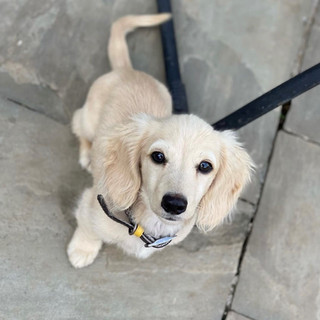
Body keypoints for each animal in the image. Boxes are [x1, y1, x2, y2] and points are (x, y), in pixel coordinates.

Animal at [67, 13, 252, 268]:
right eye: (158, 156)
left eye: (205, 166)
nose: (174, 204)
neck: (148, 224)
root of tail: (128, 70)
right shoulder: (91, 206)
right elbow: (88, 230)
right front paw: (82, 250)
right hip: (88, 119)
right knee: (79, 124)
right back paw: (87, 154)